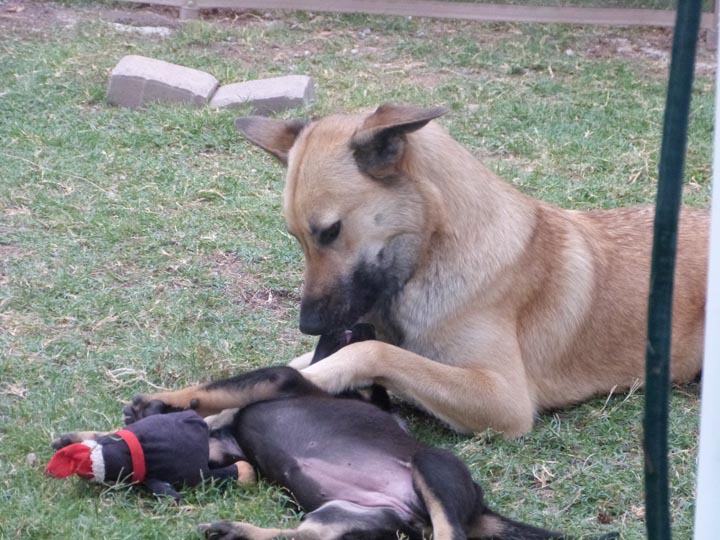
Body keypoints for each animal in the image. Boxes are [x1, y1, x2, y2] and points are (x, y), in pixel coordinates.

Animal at [233, 103, 704, 436]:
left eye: (330, 231)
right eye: (294, 235)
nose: (309, 325)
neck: (432, 254)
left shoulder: (503, 398)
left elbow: (374, 351)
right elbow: (303, 363)